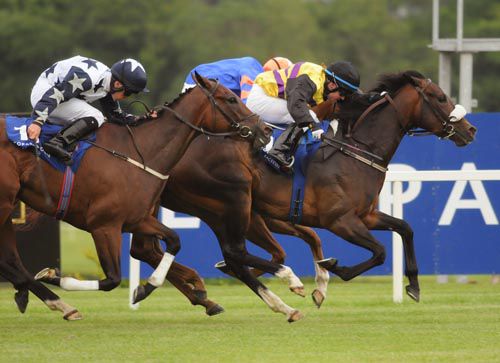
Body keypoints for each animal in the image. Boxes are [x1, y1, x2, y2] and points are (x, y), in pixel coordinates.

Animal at [0, 72, 268, 320]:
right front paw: (53, 276)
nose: (264, 129)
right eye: (231, 98)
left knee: (11, 261)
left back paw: (46, 300)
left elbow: (173, 241)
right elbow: (112, 279)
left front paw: (149, 287)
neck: (141, 152)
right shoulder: (104, 225)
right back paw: (55, 301)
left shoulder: (135, 218)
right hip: (5, 206)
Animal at [130, 71, 476, 318]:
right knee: (232, 253)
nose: (470, 130)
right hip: (231, 203)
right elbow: (379, 252)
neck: (355, 153)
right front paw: (336, 268)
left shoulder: (366, 215)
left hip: (238, 211)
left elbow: (405, 229)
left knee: (226, 257)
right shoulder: (341, 221)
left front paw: (414, 285)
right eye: (439, 96)